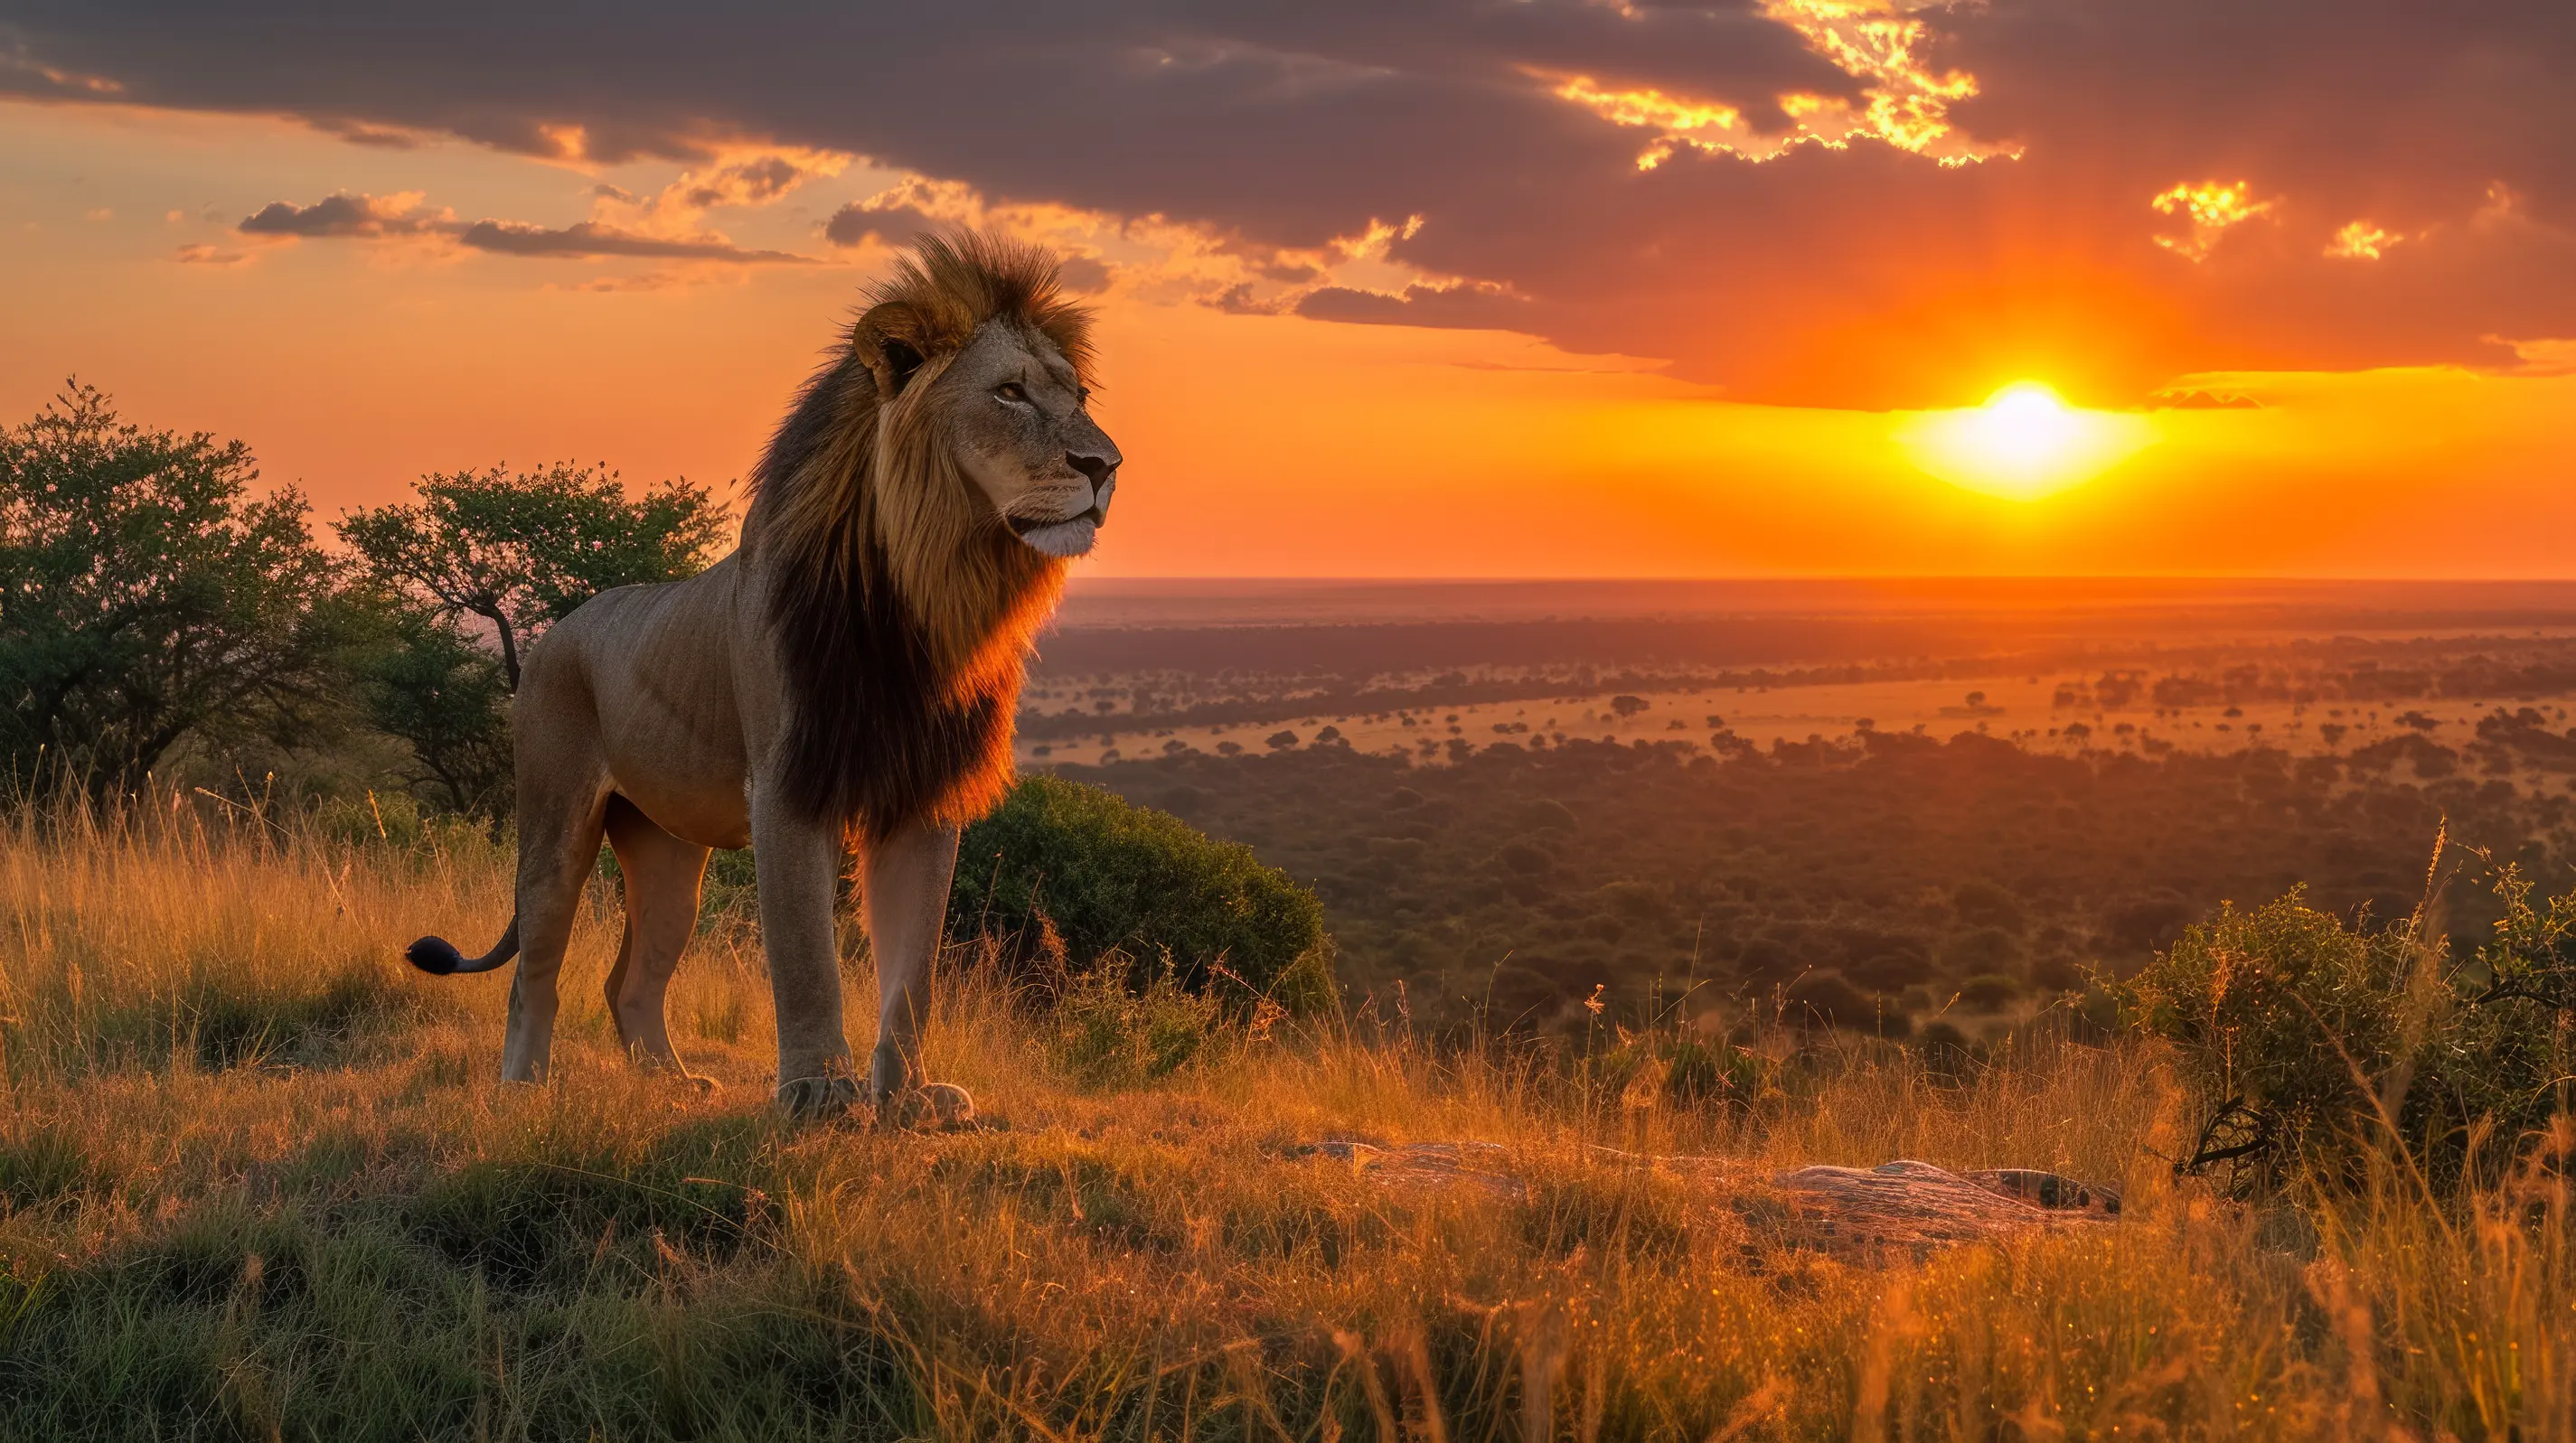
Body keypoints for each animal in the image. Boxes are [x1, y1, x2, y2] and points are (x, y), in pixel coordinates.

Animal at [404, 230, 1120, 1119]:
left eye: (1079, 392)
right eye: (1011, 392)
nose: (1106, 465)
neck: (924, 596)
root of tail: (553, 631)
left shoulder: (924, 794)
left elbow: (913, 969)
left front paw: (911, 1096)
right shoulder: (788, 784)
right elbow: (807, 954)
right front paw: (819, 1088)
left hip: (669, 856)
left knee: (629, 981)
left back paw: (672, 1082)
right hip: (555, 820)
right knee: (536, 969)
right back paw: (524, 1089)